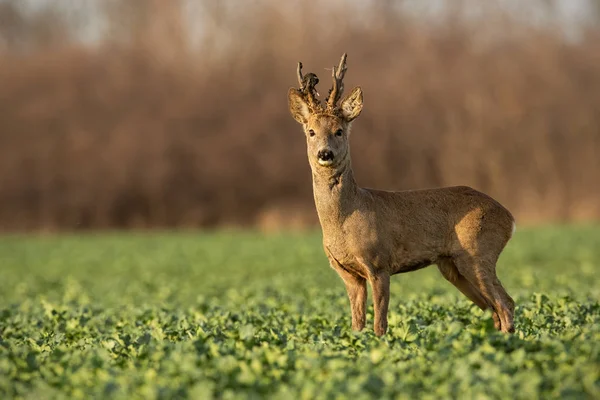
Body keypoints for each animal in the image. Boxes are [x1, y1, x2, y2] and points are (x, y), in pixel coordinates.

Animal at [286, 53, 516, 334]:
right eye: (311, 131)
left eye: (338, 131)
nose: (325, 153)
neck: (346, 217)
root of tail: (509, 217)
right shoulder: (348, 273)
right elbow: (357, 324)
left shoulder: (379, 263)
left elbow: (380, 324)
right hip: (452, 266)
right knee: (494, 308)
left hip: (478, 252)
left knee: (505, 303)